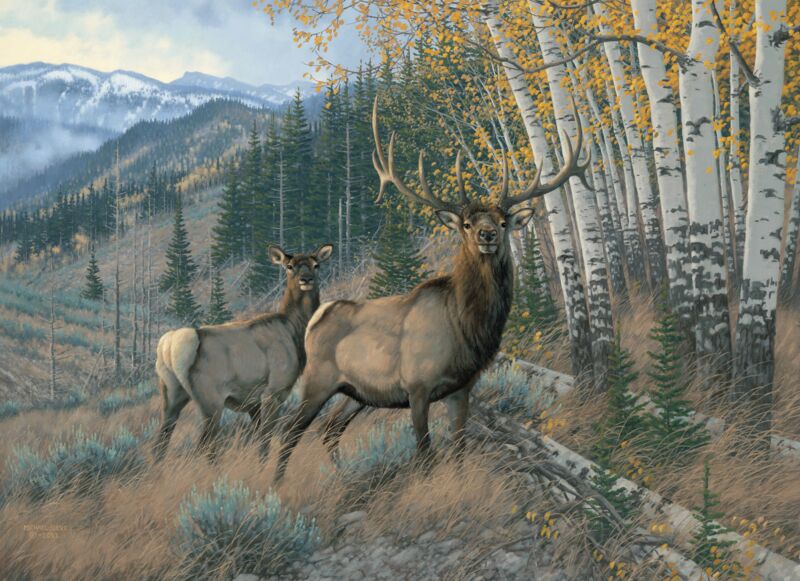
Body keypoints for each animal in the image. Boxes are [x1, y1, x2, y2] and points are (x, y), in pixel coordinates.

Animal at [153, 243, 333, 462]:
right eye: (289, 266)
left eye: (316, 265)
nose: (306, 279)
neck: (294, 332)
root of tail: (170, 345)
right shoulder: (274, 390)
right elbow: (266, 437)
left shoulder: (252, 402)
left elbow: (259, 441)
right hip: (210, 398)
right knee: (204, 445)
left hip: (171, 394)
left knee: (160, 443)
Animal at [272, 97, 588, 481]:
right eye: (466, 223)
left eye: (502, 221)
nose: (487, 235)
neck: (465, 326)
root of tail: (316, 317)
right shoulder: (417, 386)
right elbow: (424, 453)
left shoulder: (462, 389)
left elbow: (459, 449)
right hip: (318, 378)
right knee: (290, 430)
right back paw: (277, 483)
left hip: (355, 392)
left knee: (330, 428)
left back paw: (342, 474)